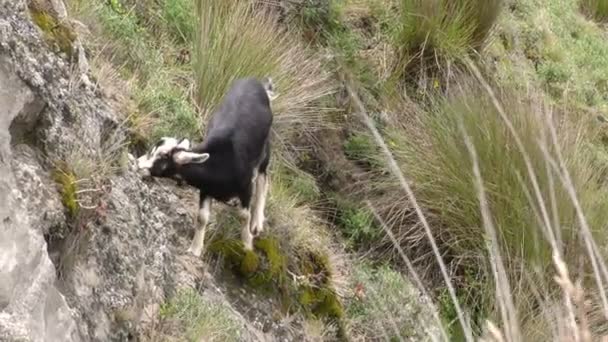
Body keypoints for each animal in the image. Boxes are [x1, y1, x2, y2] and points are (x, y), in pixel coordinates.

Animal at [135, 77, 276, 254]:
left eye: (163, 156)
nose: (137, 163)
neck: (222, 162)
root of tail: (256, 82)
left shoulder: (246, 187)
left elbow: (244, 216)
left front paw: (247, 245)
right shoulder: (206, 188)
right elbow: (202, 217)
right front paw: (195, 249)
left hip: (265, 148)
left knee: (264, 177)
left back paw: (257, 223)